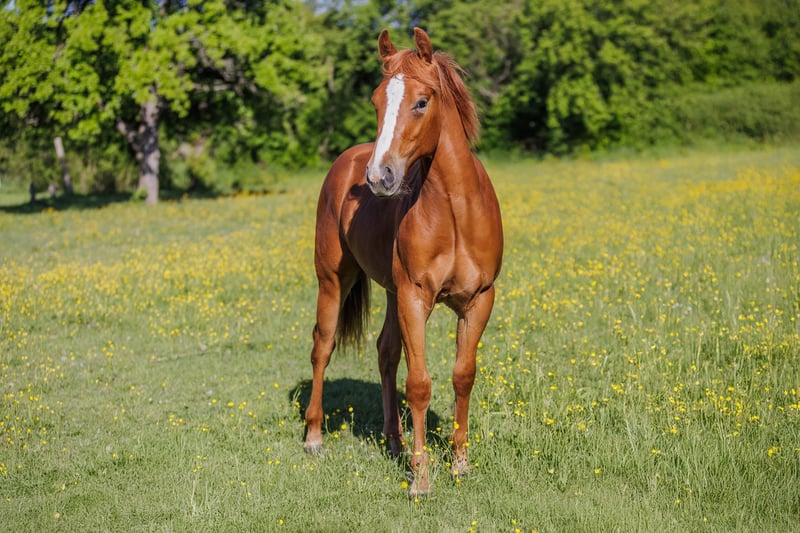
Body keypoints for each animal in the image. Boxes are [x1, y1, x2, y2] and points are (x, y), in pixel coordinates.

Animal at [303, 27, 503, 497]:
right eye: (377, 101)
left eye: (421, 102)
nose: (380, 177)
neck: (456, 214)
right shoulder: (416, 298)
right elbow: (419, 384)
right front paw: (421, 479)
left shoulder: (478, 301)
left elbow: (462, 375)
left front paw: (460, 464)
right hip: (334, 281)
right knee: (323, 346)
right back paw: (314, 437)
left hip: (392, 295)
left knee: (386, 352)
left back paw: (393, 441)